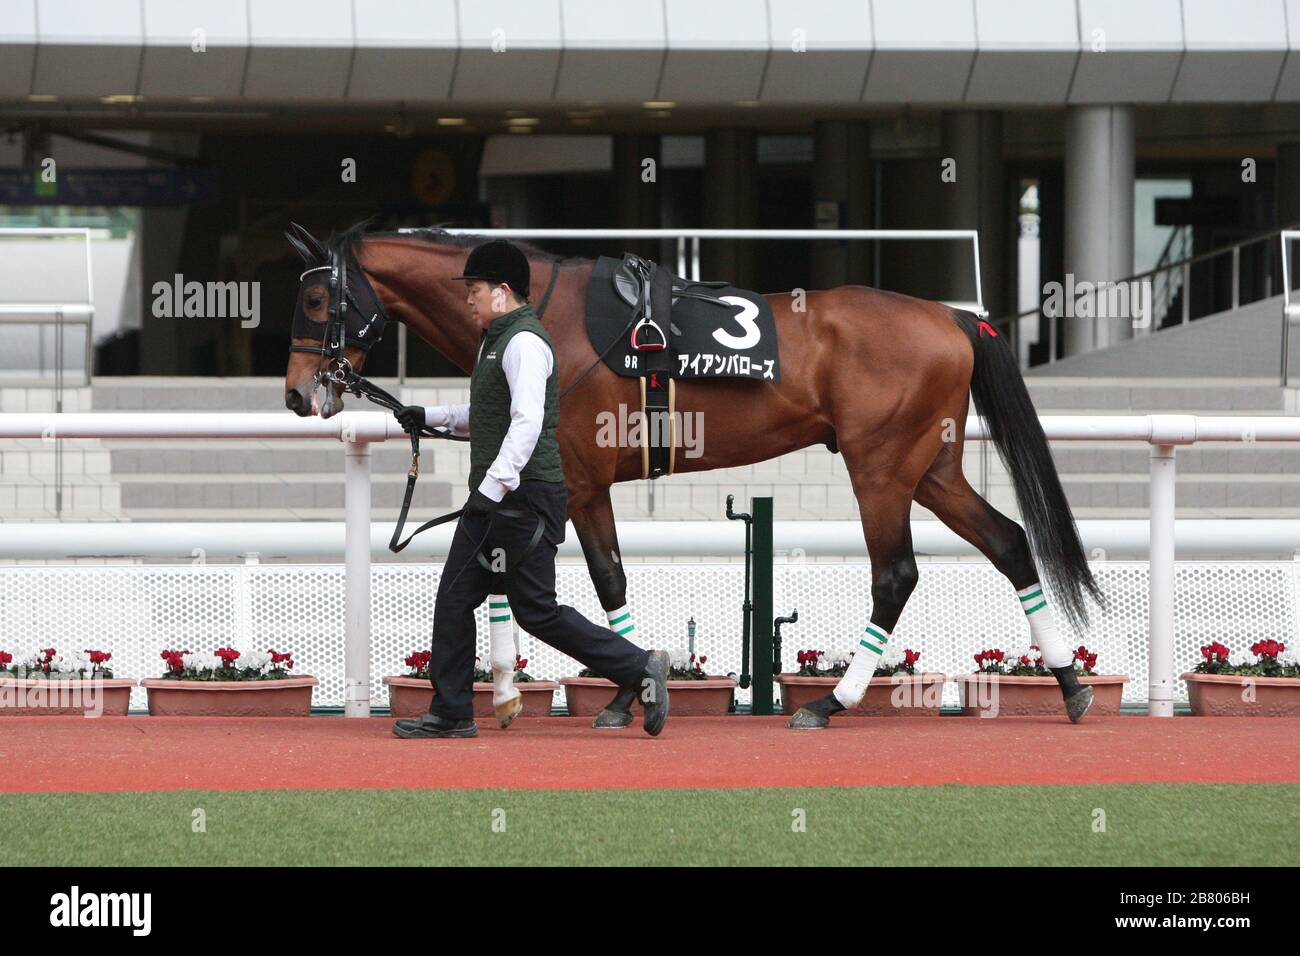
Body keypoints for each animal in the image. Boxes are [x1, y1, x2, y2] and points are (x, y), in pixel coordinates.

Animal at [284, 223, 1107, 728]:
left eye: (317, 297)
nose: (297, 394)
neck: (550, 320)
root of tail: (955, 318)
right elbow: (583, 582)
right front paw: (616, 691)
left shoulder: (582, 480)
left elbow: (602, 579)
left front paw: (625, 690)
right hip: (928, 466)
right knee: (1009, 542)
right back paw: (1068, 685)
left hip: (880, 466)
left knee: (896, 574)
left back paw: (831, 703)